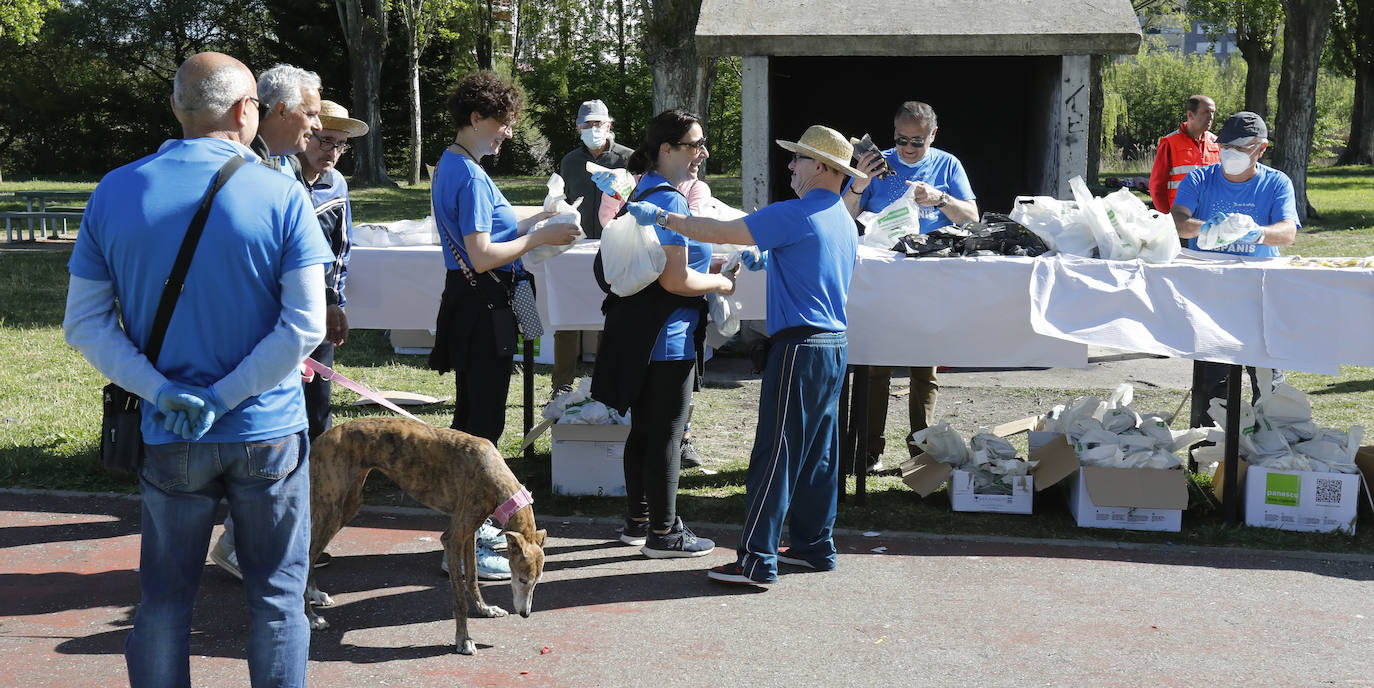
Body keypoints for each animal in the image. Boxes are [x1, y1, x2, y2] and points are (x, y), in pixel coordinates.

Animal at [305, 414, 546, 650]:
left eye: (536, 581)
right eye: (522, 579)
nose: (525, 614)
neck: (492, 472)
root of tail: (319, 440)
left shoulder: (468, 532)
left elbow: (472, 578)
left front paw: (485, 609)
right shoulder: (452, 539)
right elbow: (459, 599)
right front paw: (463, 639)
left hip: (349, 504)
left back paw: (316, 595)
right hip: (331, 510)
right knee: (306, 555)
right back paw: (311, 617)